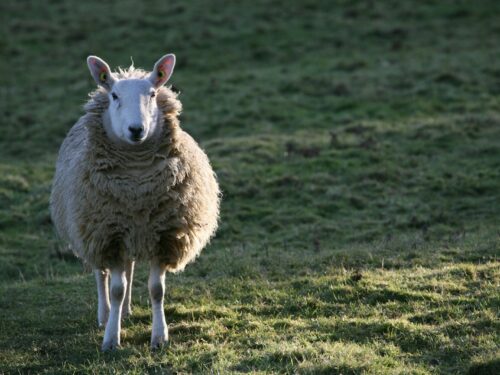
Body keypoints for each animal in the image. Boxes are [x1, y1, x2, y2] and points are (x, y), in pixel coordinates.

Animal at [49, 54, 220, 352]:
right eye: (115, 96)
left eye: (152, 94)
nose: (136, 129)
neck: (137, 186)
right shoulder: (109, 235)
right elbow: (115, 289)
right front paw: (111, 338)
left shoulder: (163, 235)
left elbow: (156, 290)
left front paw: (159, 336)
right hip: (92, 229)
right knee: (101, 275)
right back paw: (105, 314)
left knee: (128, 270)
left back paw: (126, 311)